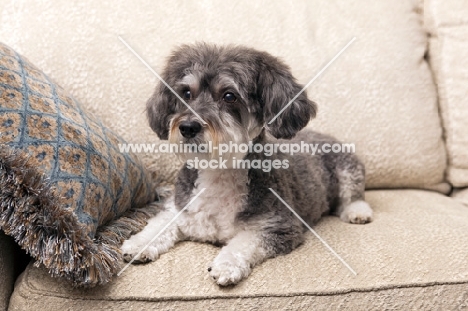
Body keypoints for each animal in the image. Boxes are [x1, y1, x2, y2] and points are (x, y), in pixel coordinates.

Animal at [121, 44, 372, 288]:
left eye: (229, 96)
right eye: (186, 93)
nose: (188, 127)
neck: (218, 172)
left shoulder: (280, 226)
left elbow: (245, 241)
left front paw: (227, 264)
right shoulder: (178, 208)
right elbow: (159, 224)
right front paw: (138, 244)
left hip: (347, 169)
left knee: (353, 195)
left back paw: (357, 212)